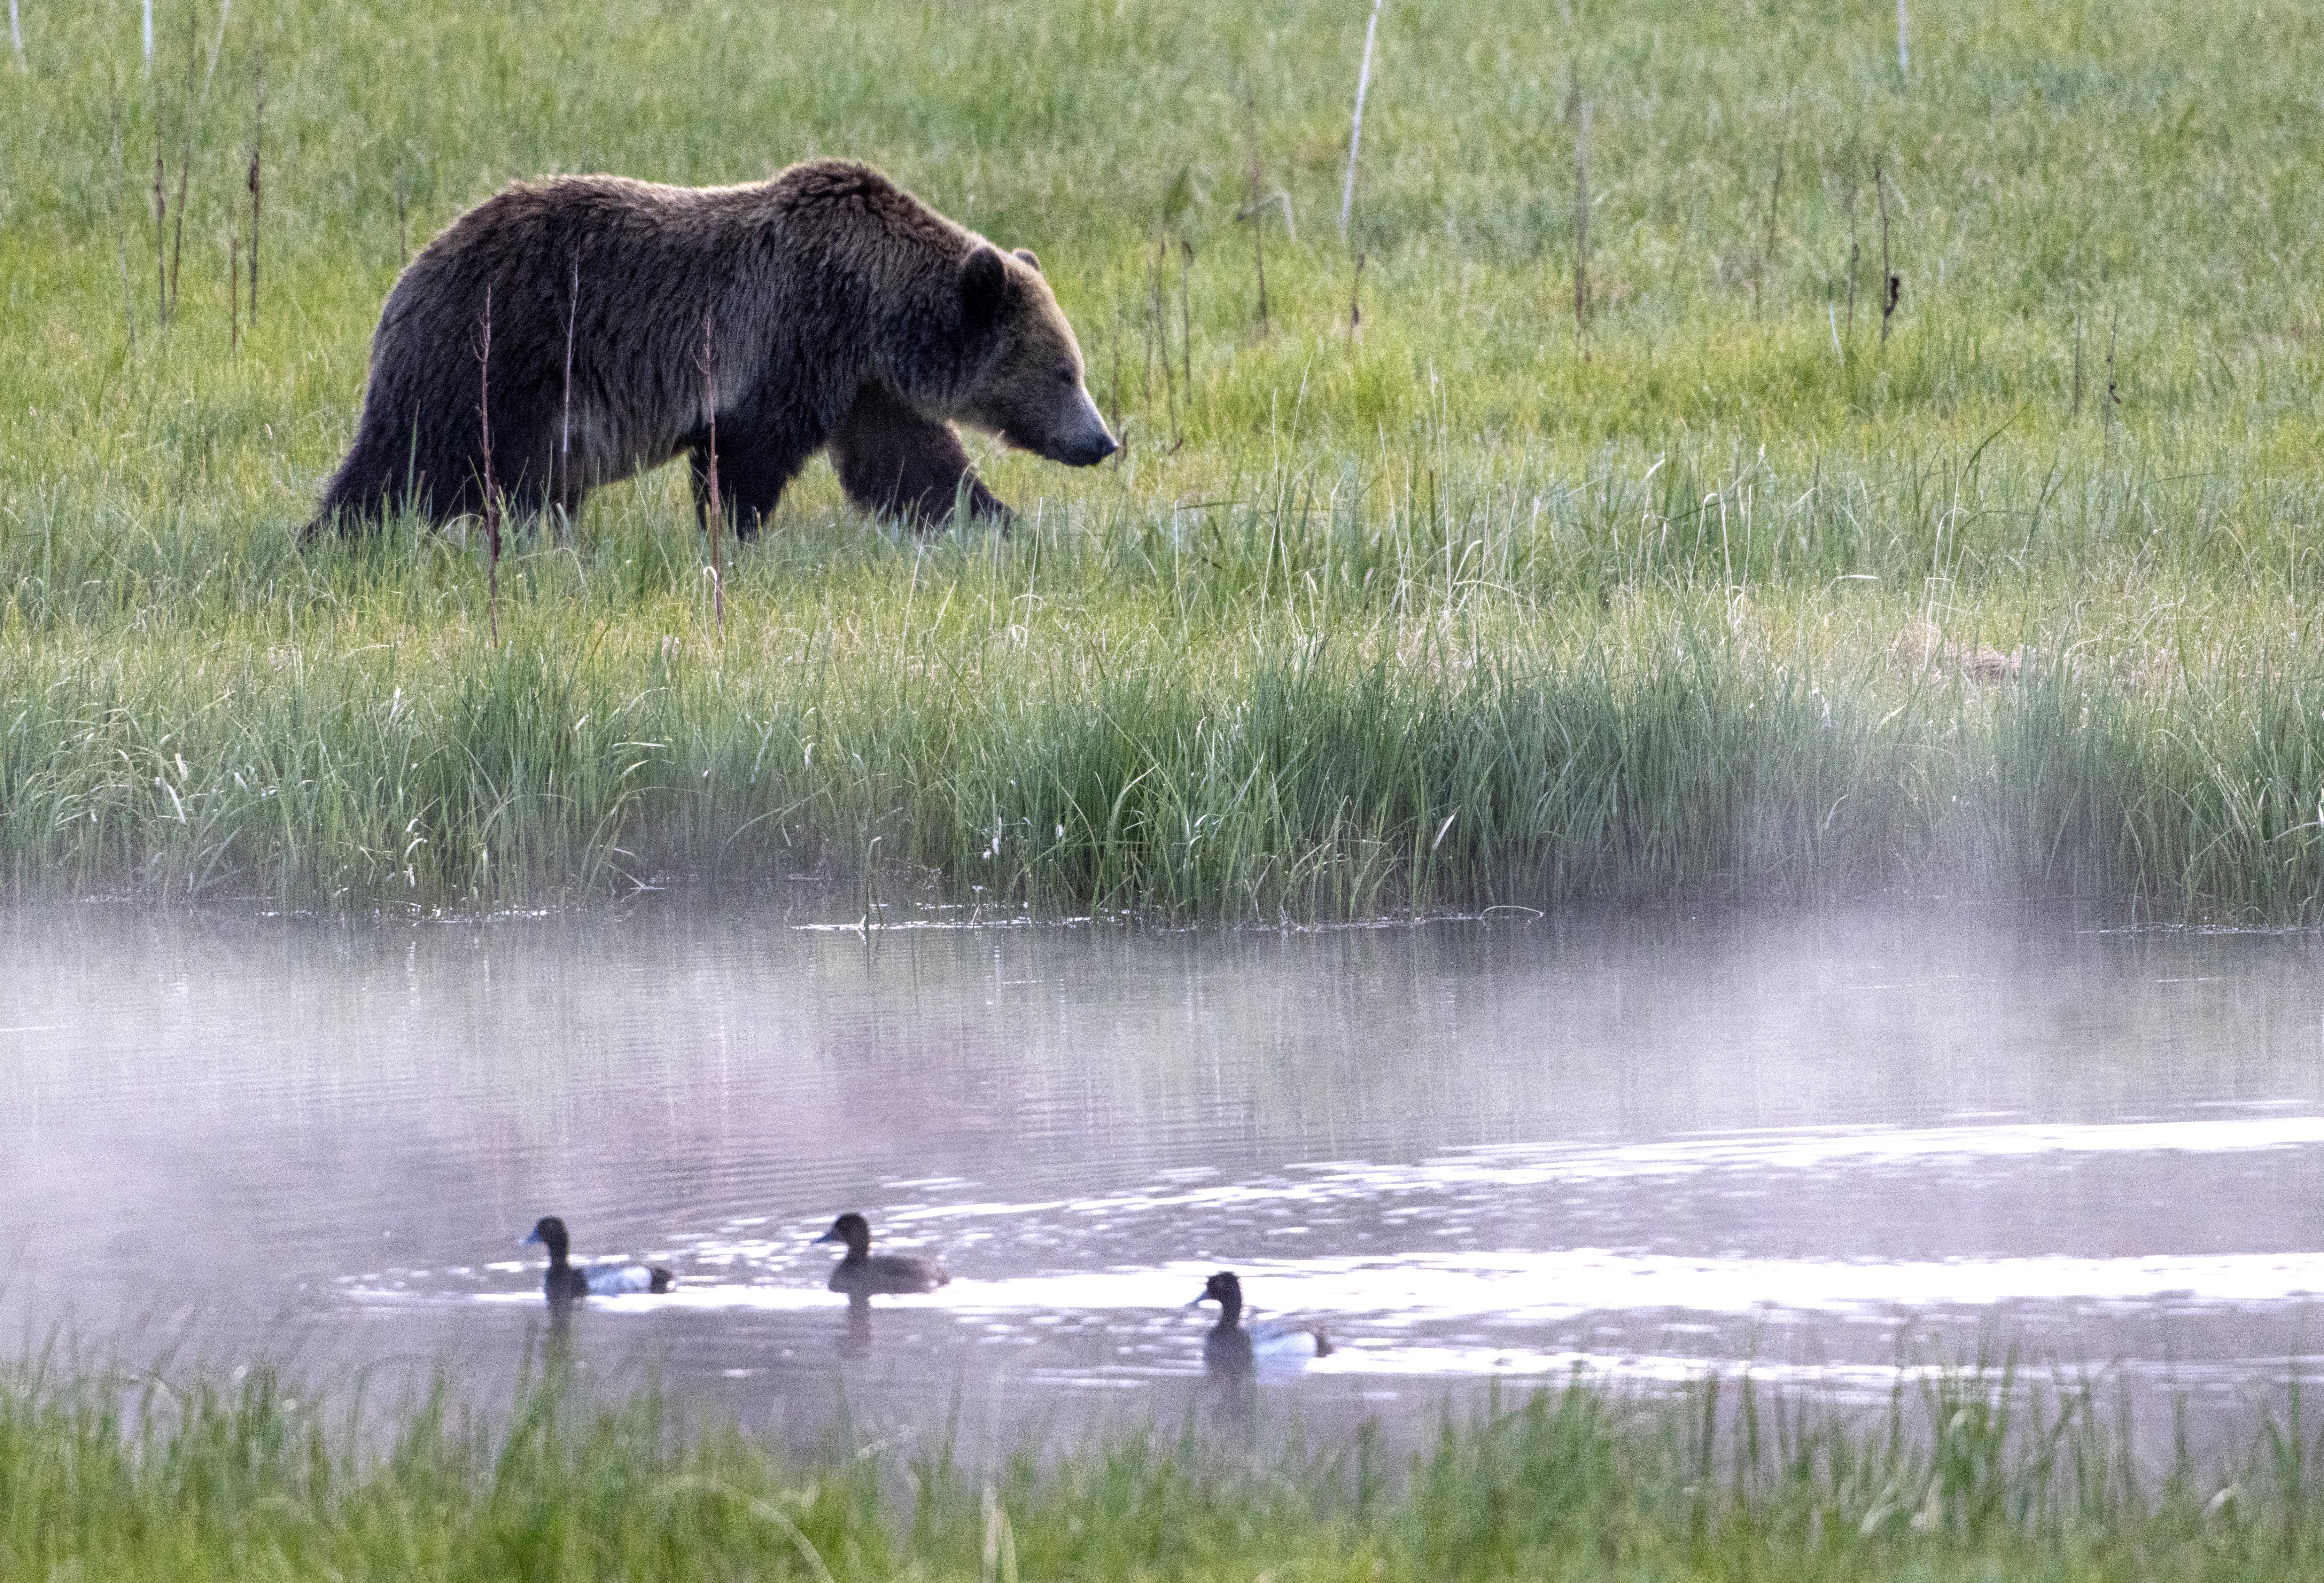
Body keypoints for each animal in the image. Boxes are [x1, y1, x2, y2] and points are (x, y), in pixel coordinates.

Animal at [309, 159, 1116, 537]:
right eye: (1063, 370)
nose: (1104, 440)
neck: (872, 308)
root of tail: (412, 270)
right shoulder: (788, 341)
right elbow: (745, 458)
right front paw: (734, 535)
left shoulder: (862, 386)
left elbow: (912, 468)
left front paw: (999, 522)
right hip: (495, 355)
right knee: (405, 464)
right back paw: (336, 539)